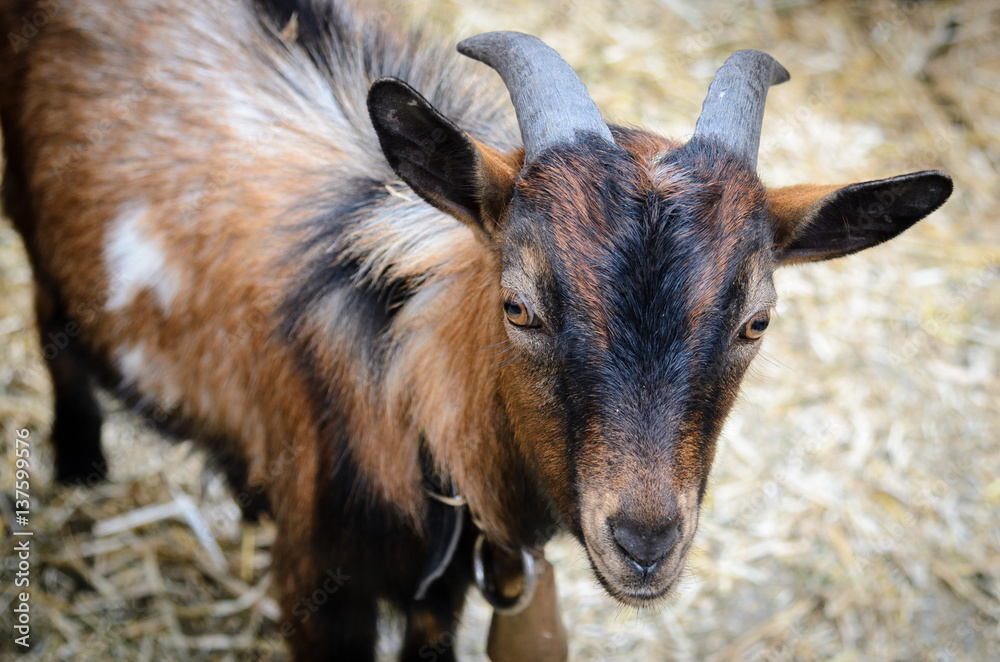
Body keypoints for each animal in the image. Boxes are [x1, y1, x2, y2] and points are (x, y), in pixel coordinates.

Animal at [0, 0, 952, 659]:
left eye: (757, 319)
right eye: (519, 305)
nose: (645, 544)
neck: (407, 393)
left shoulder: (440, 593)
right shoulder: (318, 589)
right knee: (52, 325)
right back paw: (79, 463)